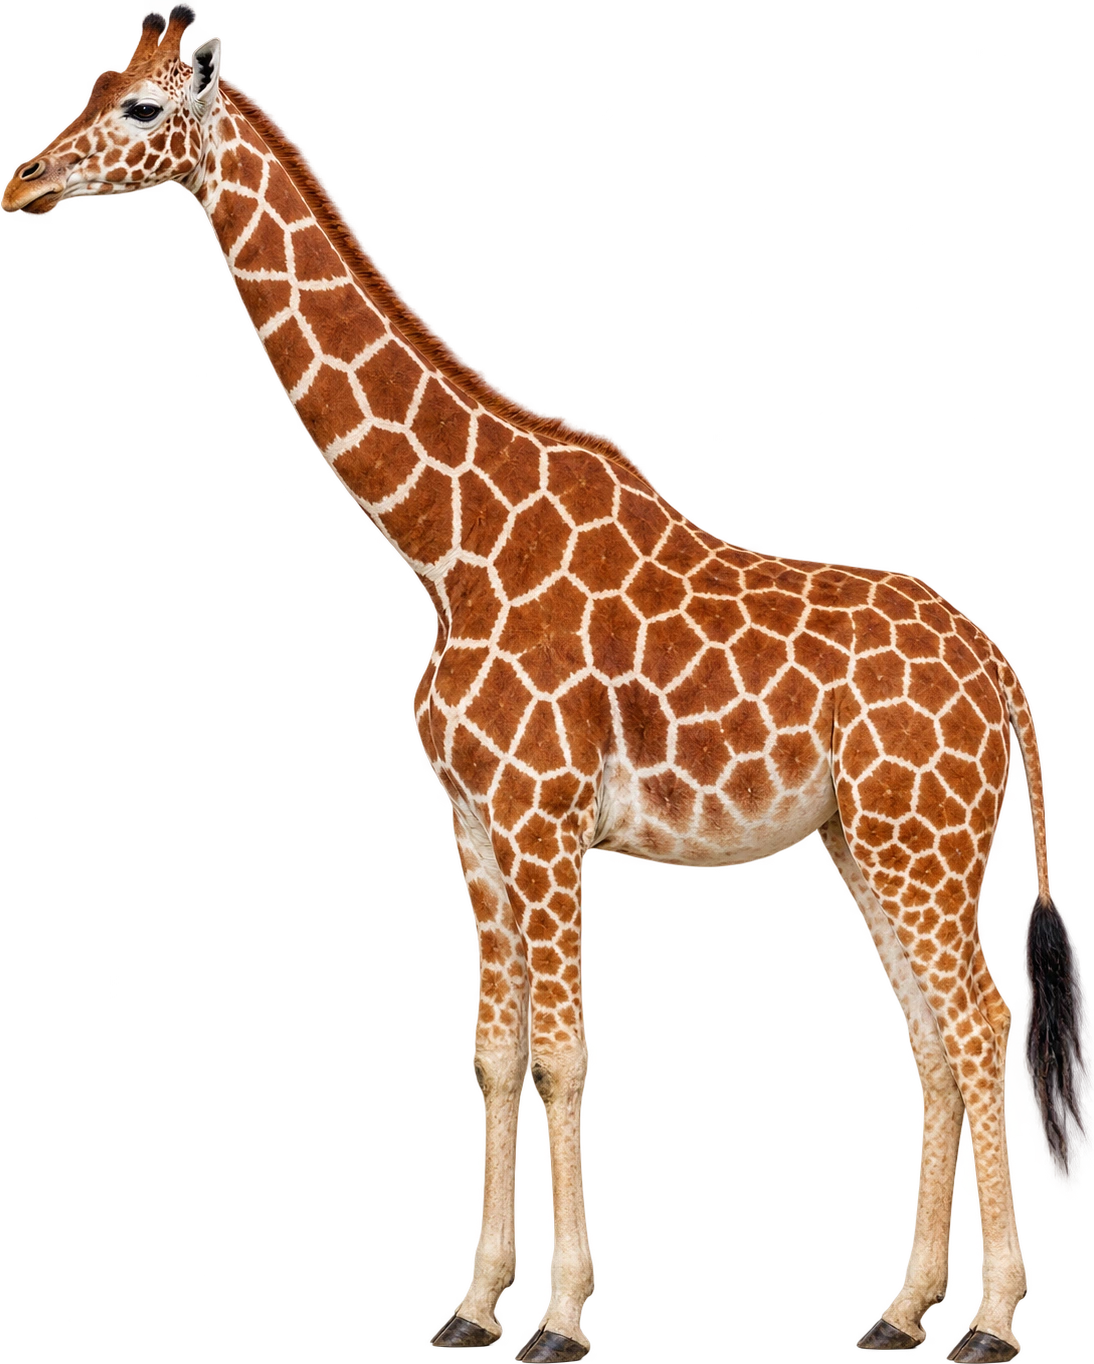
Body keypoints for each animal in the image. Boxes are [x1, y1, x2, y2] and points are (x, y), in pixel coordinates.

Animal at [5, 7, 1091, 1362]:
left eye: (144, 107)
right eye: (98, 79)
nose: (21, 180)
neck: (447, 548)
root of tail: (997, 662)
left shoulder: (543, 822)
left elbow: (564, 1054)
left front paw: (563, 1315)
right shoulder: (472, 828)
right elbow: (490, 1049)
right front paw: (470, 1305)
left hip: (923, 841)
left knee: (977, 1023)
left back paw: (988, 1319)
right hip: (867, 841)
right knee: (928, 1044)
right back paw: (897, 1311)